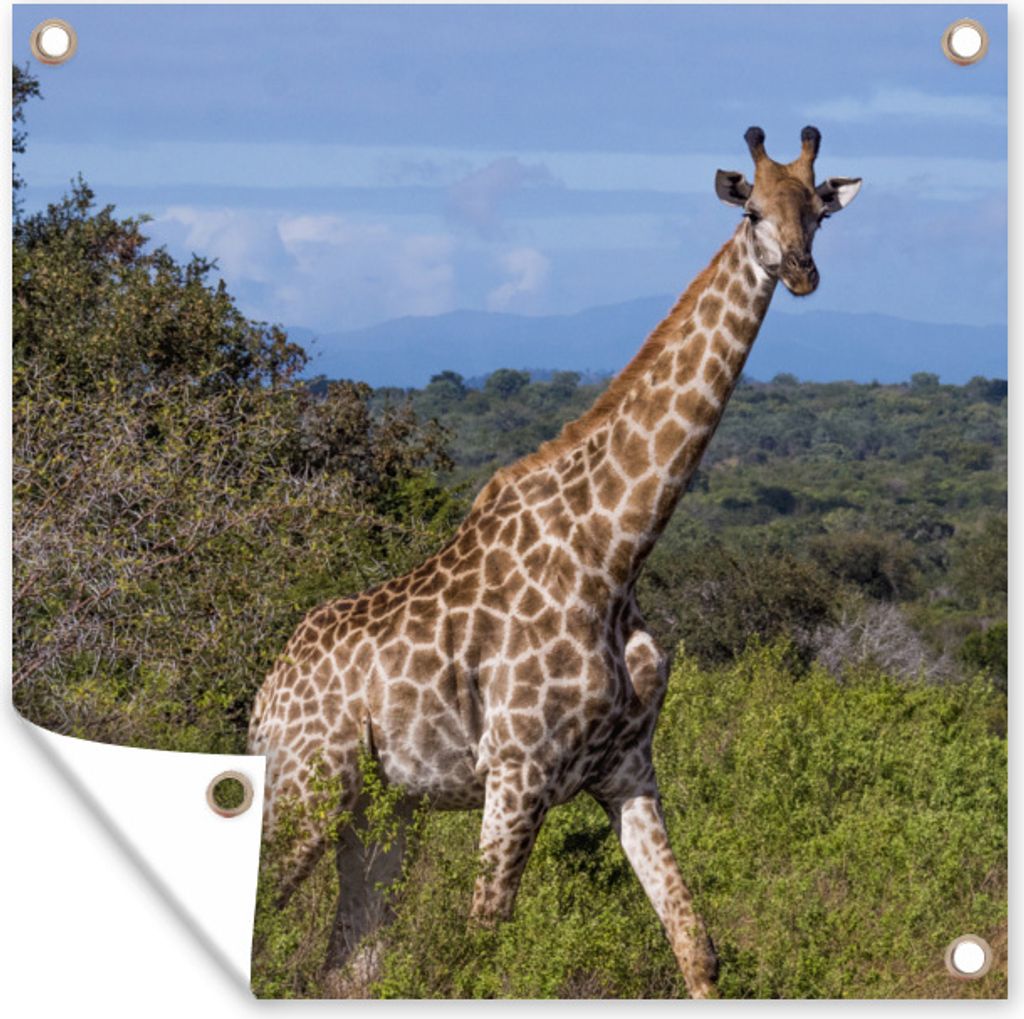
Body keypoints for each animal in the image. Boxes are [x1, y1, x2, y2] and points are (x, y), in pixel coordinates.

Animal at [248, 126, 861, 998]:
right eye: (751, 211)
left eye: (819, 210)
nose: (803, 272)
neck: (616, 550)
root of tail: (266, 692)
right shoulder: (517, 768)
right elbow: (481, 945)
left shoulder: (629, 768)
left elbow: (695, 944)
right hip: (307, 785)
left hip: (383, 807)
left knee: (348, 963)